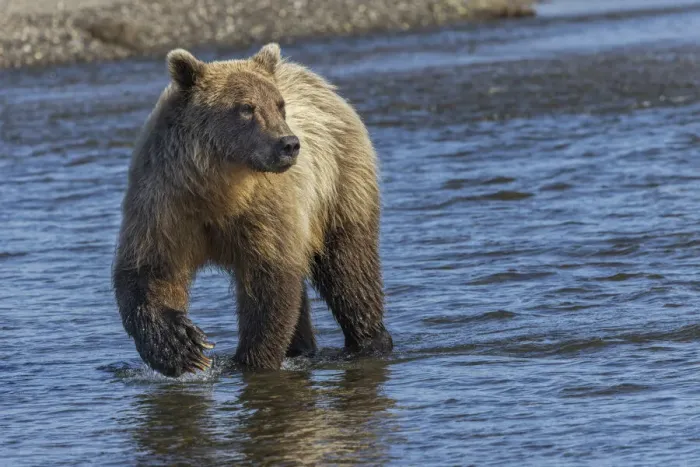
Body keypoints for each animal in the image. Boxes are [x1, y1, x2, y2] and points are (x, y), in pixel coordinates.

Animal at [112, 43, 393, 377]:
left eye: (279, 105)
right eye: (246, 107)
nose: (288, 144)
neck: (218, 189)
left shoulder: (263, 211)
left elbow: (269, 283)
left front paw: (251, 361)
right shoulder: (166, 203)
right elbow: (151, 272)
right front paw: (183, 346)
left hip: (339, 184)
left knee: (348, 267)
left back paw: (368, 341)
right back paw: (303, 348)